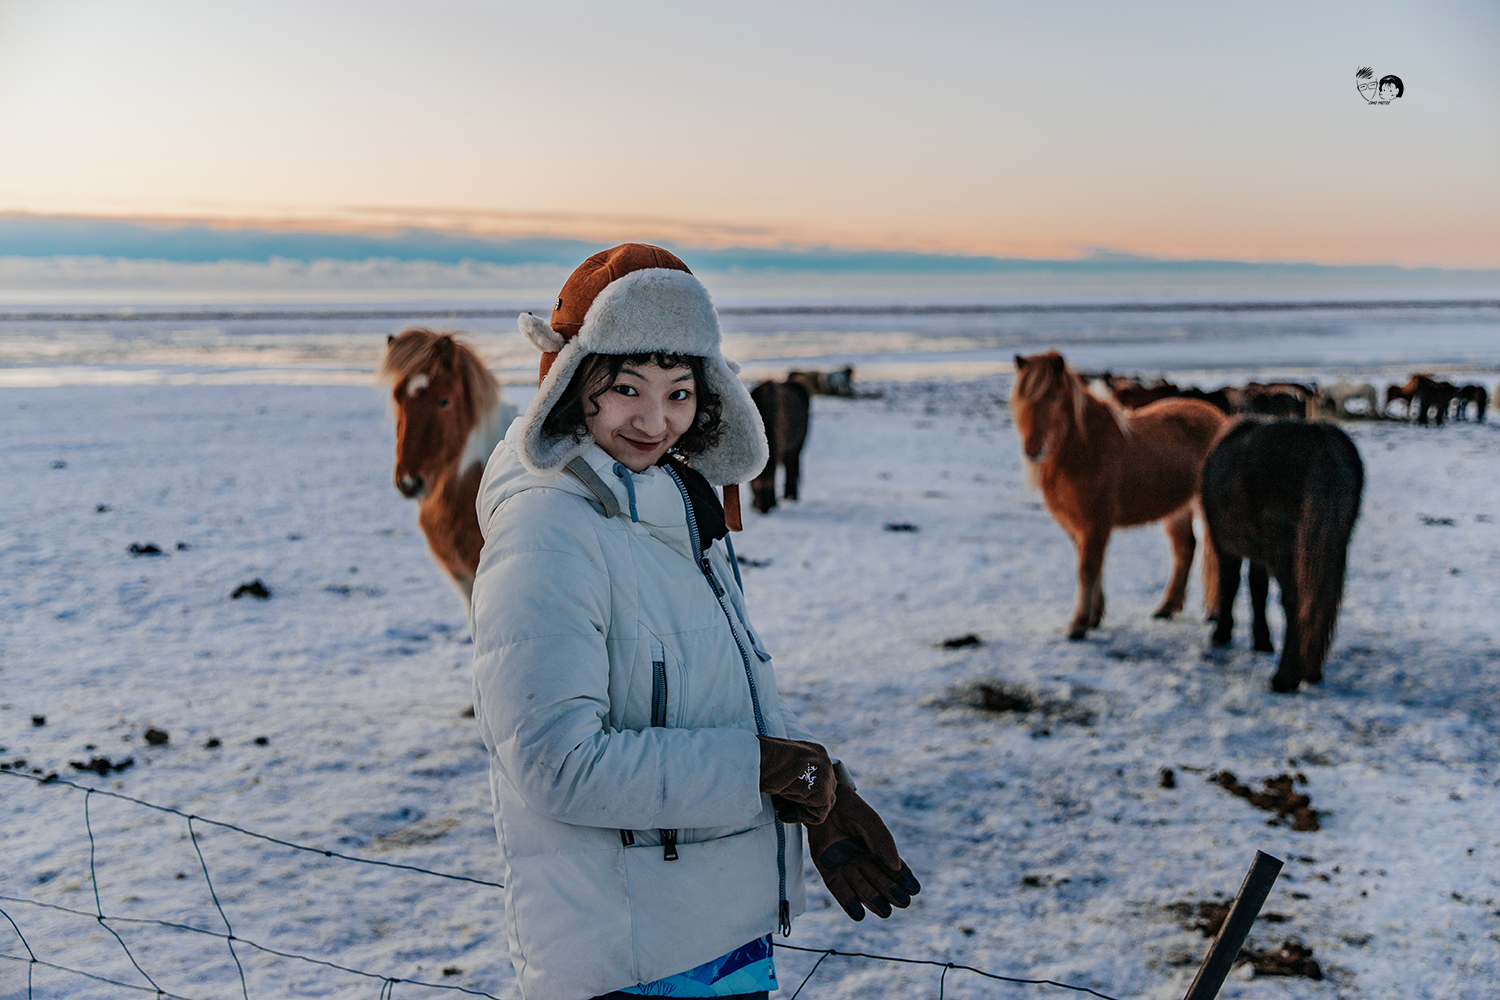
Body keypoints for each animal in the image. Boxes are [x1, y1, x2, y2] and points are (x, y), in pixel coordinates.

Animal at [1008, 352, 1230, 641]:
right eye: (1022, 400)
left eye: (1055, 398)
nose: (1033, 450)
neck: (1086, 450)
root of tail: (1218, 419)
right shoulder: (1077, 526)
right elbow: (1094, 567)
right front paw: (1094, 617)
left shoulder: (1095, 523)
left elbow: (1087, 569)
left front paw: (1079, 624)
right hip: (1177, 510)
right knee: (1185, 549)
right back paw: (1166, 608)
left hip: (1204, 509)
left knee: (1214, 555)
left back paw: (1214, 612)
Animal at [1200, 419, 1368, 692]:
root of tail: (1322, 443)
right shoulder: (1258, 555)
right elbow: (1258, 588)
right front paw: (1262, 640)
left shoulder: (1224, 546)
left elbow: (1230, 584)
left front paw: (1222, 632)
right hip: (1332, 544)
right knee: (1320, 600)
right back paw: (1311, 672)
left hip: (1286, 551)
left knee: (1295, 601)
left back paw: (1285, 678)